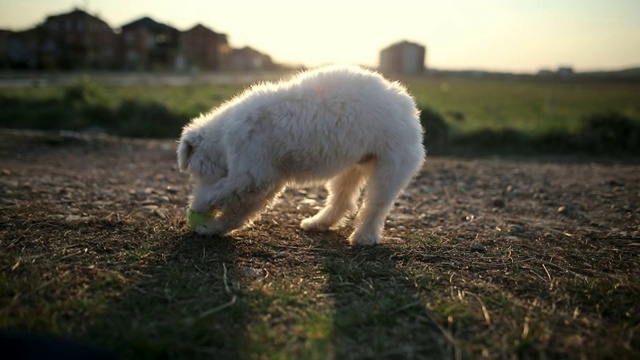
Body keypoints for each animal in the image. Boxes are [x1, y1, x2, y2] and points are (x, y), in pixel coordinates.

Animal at [178, 64, 424, 245]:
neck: (224, 133)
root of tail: (406, 103)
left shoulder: (252, 175)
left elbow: (222, 193)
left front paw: (200, 207)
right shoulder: (266, 180)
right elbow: (239, 212)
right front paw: (212, 228)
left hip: (390, 169)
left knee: (375, 206)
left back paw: (364, 237)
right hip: (351, 168)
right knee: (342, 200)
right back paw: (319, 223)